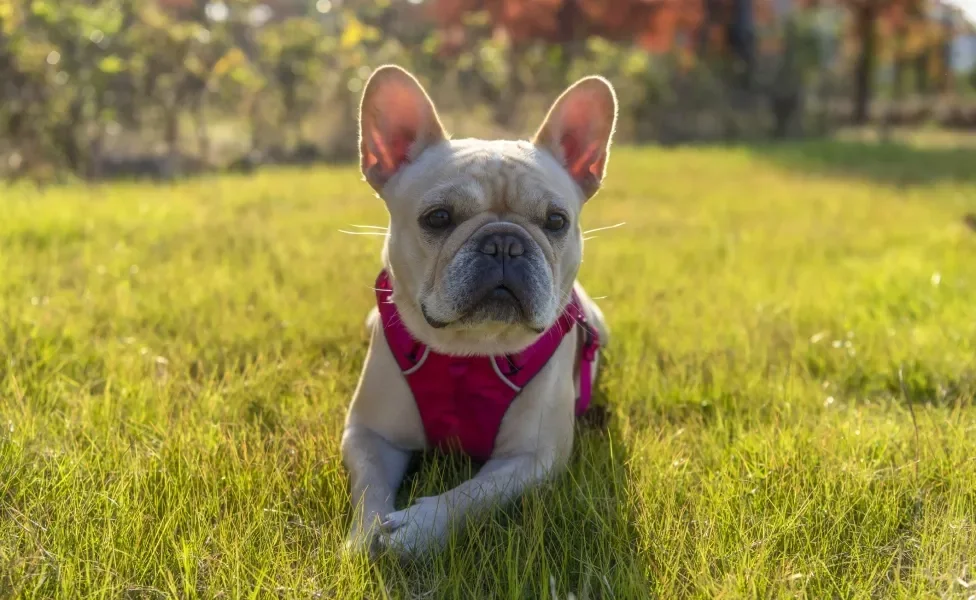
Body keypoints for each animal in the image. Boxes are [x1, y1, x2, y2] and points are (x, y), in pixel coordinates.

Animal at [344, 64, 616, 556]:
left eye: (556, 221)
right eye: (437, 218)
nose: (504, 242)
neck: (467, 354)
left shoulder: (531, 458)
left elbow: (473, 494)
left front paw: (419, 527)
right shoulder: (368, 434)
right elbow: (369, 488)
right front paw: (366, 535)